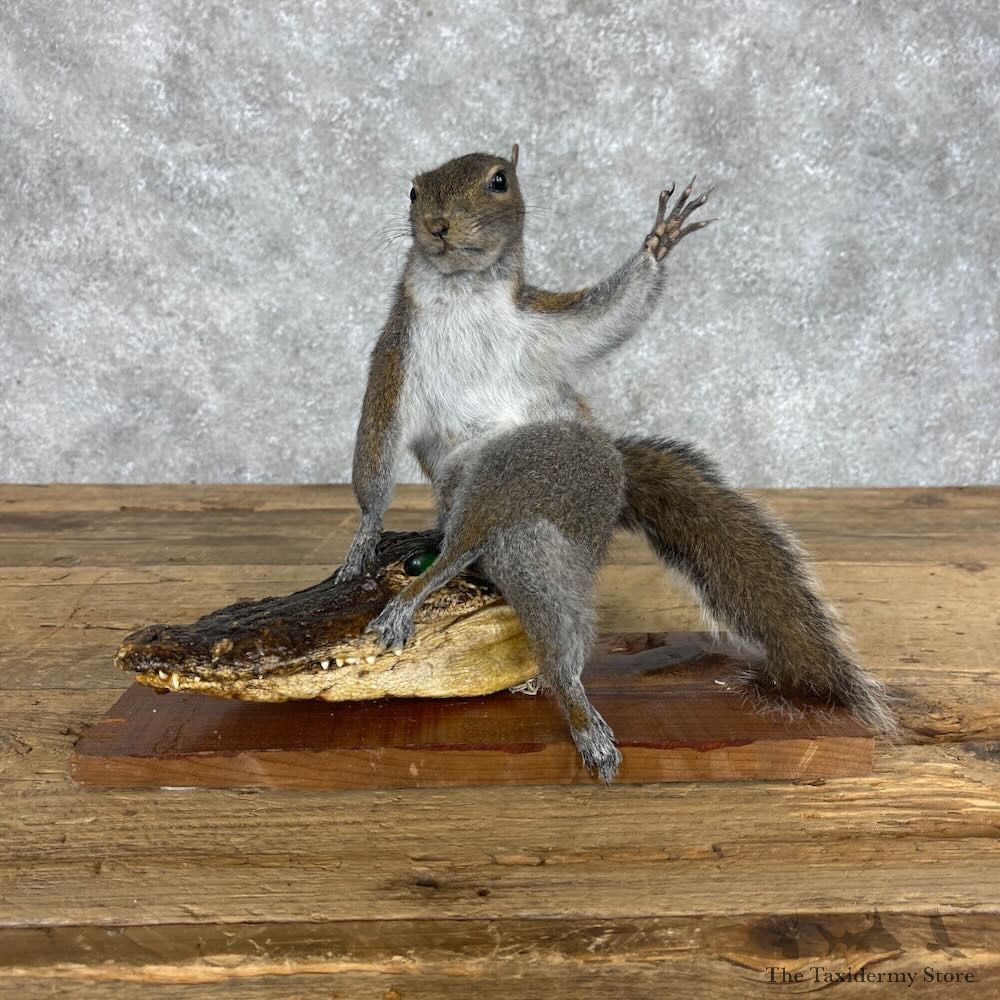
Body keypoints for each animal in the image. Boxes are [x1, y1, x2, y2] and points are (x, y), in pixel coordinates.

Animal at [338, 144, 897, 782]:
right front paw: (363, 536)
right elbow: (375, 449)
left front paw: (657, 241)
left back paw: (568, 702)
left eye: (499, 181)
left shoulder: (540, 321)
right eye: (413, 191)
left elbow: (605, 317)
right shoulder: (397, 354)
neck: (463, 289)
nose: (437, 225)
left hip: (561, 472)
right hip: (478, 486)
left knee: (505, 534)